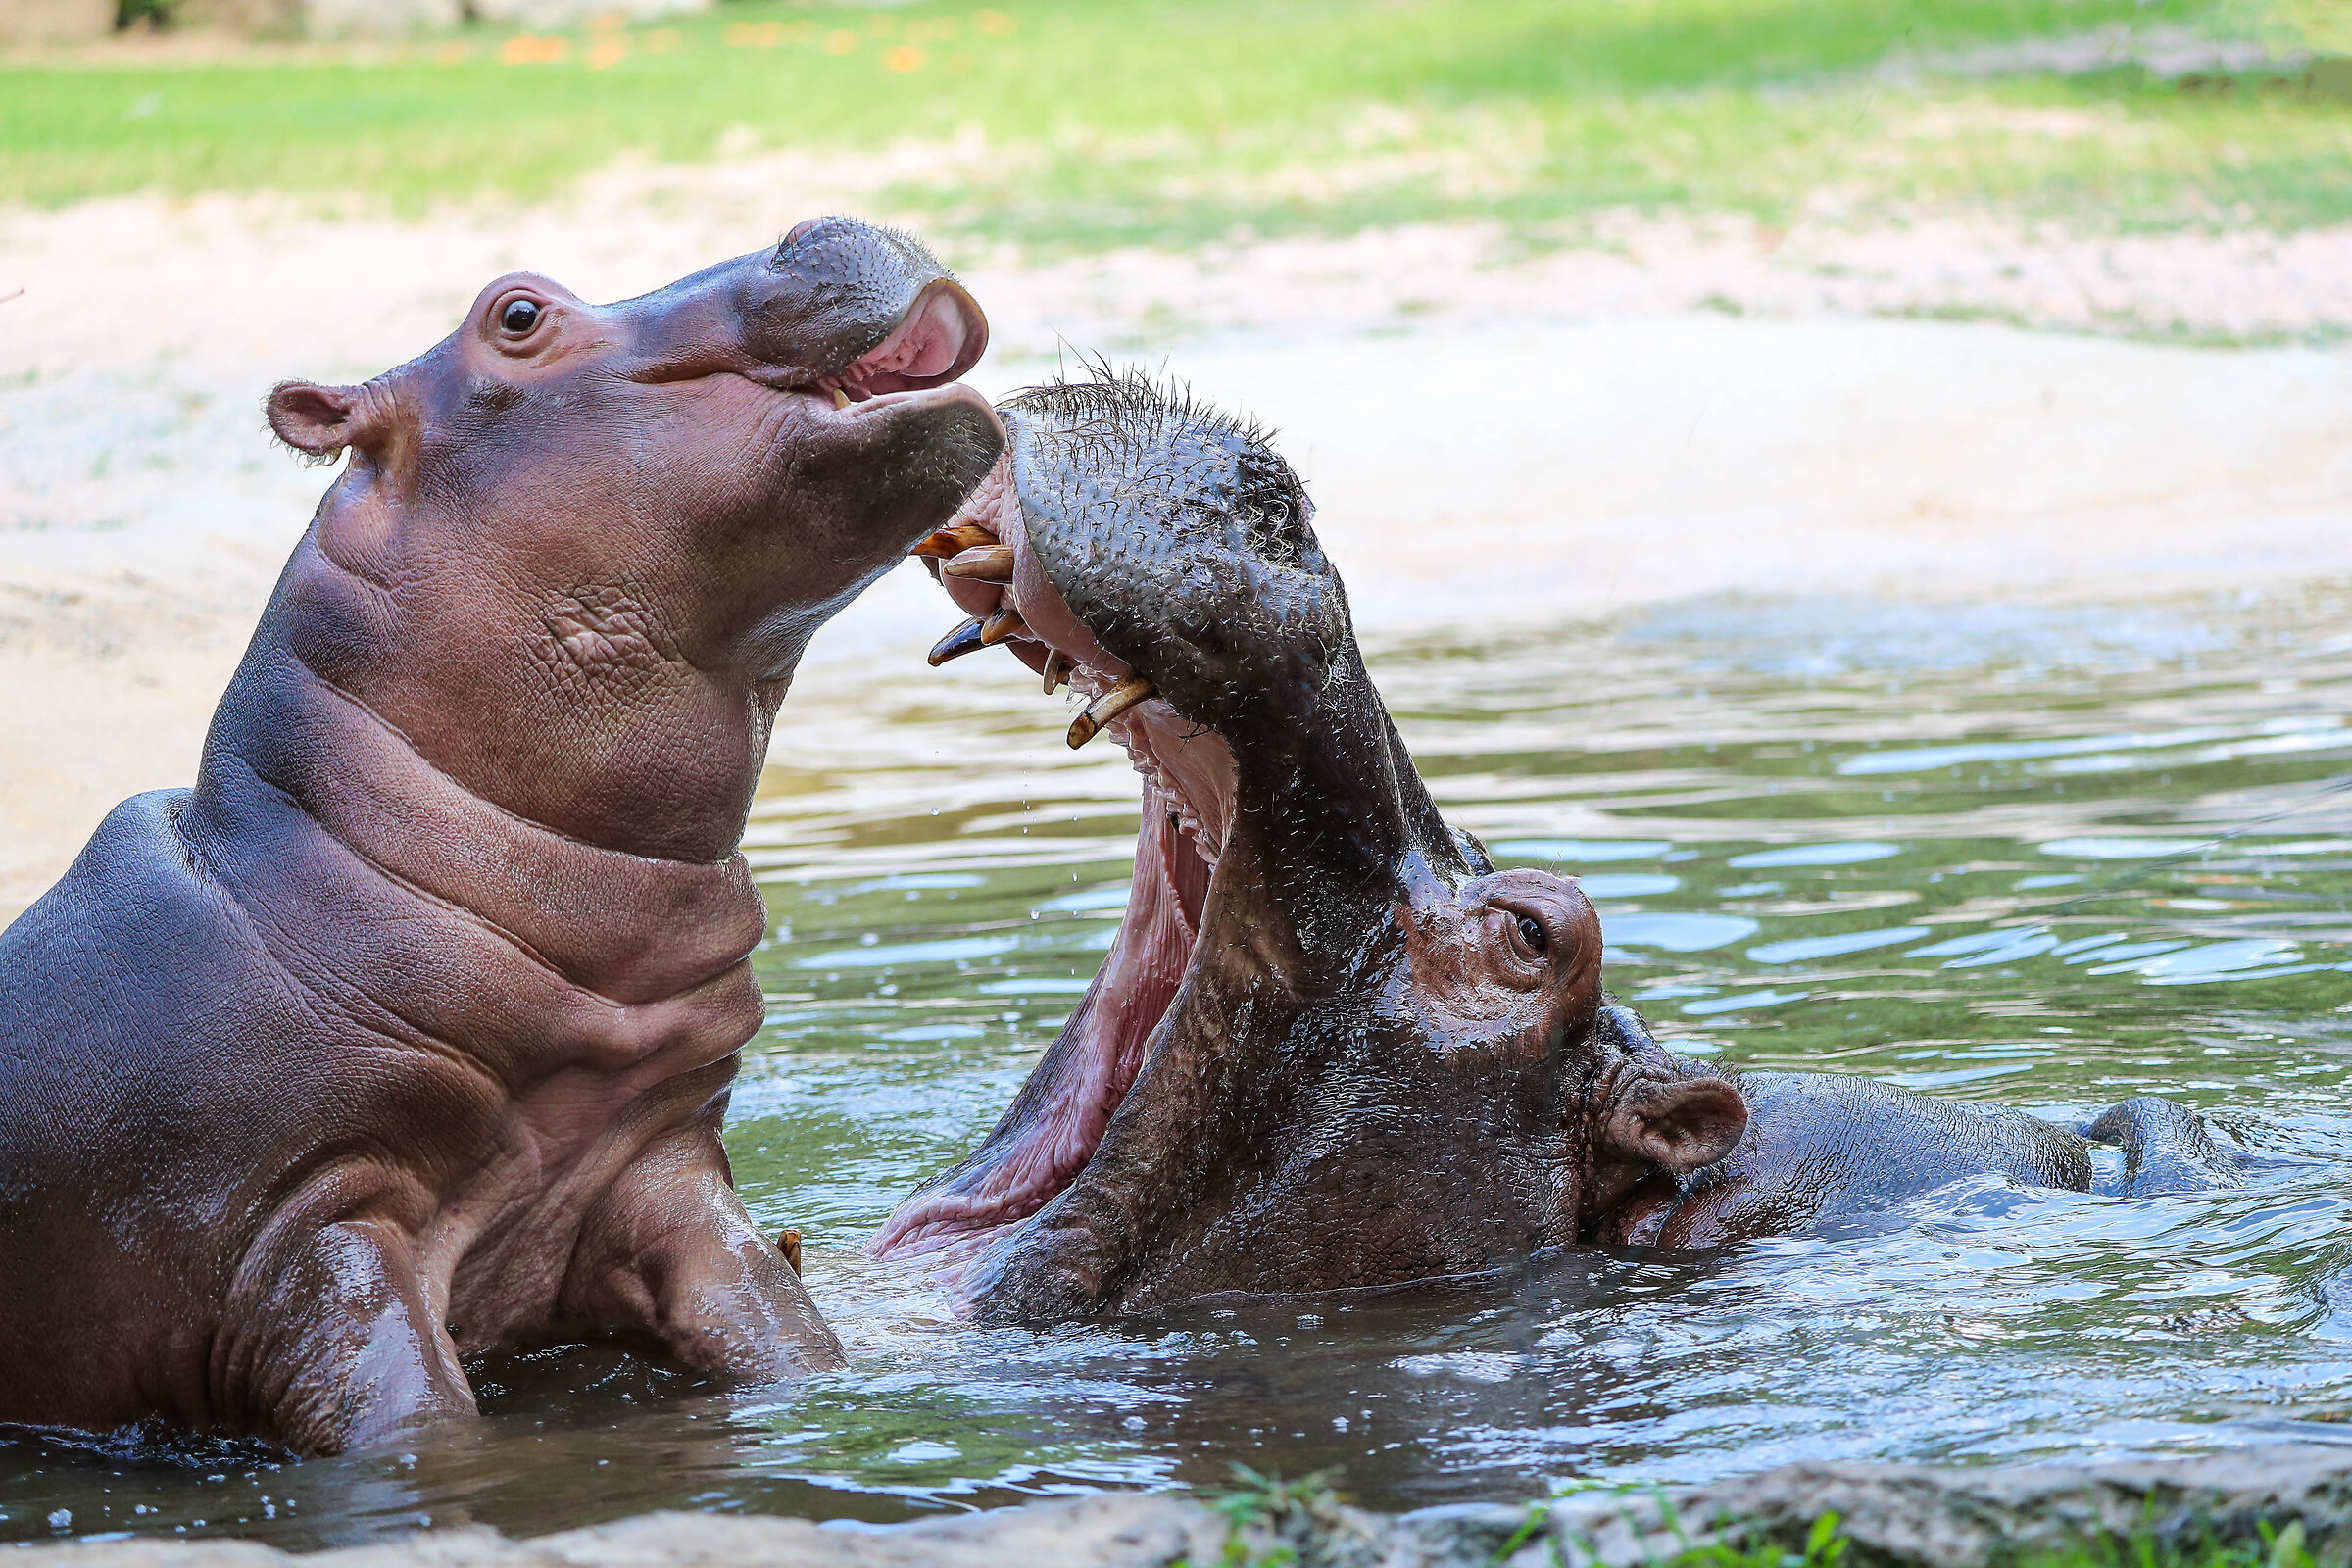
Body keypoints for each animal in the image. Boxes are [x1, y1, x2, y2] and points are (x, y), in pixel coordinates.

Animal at [0, 217, 1000, 1455]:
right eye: (517, 316)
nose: (822, 223)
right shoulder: (304, 1229)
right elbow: (416, 1412)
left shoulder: (650, 1162)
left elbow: (782, 1327)